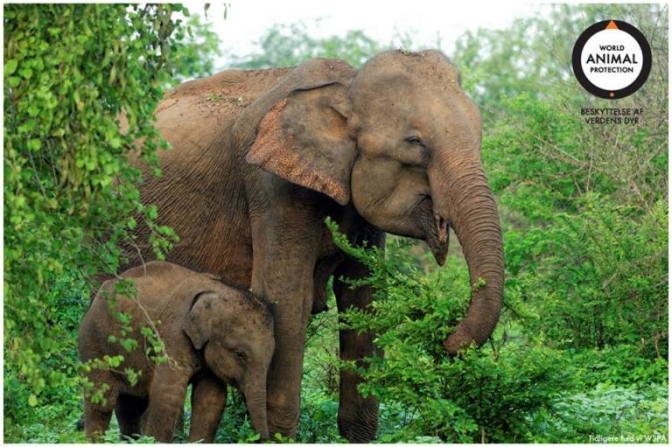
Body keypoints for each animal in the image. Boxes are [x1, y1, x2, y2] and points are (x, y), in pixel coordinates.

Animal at [78, 260, 276, 442]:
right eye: (239, 354)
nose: (265, 439)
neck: (219, 290)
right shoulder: (173, 334)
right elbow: (167, 395)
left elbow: (211, 399)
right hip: (93, 342)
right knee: (103, 400)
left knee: (130, 404)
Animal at [127, 50, 504, 442]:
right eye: (415, 142)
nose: (448, 341)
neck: (346, 89)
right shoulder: (273, 187)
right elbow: (285, 300)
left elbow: (363, 299)